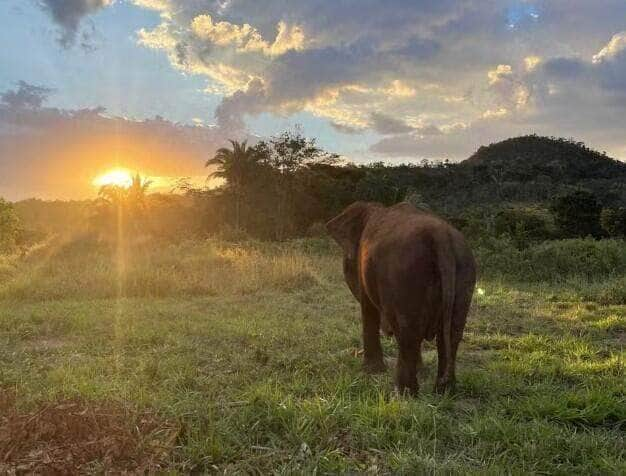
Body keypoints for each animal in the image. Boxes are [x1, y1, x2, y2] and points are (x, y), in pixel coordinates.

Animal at [326, 201, 472, 394]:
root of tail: (441, 237)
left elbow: (368, 310)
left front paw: (371, 371)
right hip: (464, 271)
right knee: (451, 333)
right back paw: (444, 391)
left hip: (405, 274)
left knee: (408, 331)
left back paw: (403, 393)